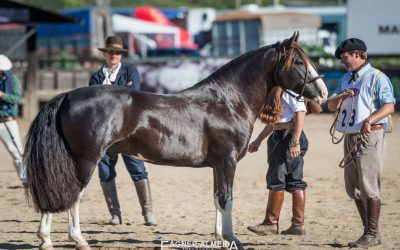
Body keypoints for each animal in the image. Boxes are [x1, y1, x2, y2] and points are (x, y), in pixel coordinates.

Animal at [23, 33, 326, 250]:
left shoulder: (217, 165)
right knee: (72, 194)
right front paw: (233, 240)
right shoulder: (228, 162)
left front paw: (220, 237)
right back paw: (76, 240)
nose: (323, 92)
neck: (228, 101)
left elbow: (217, 199)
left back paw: (46, 239)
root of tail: (67, 95)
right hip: (86, 159)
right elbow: (227, 199)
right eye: (299, 62)